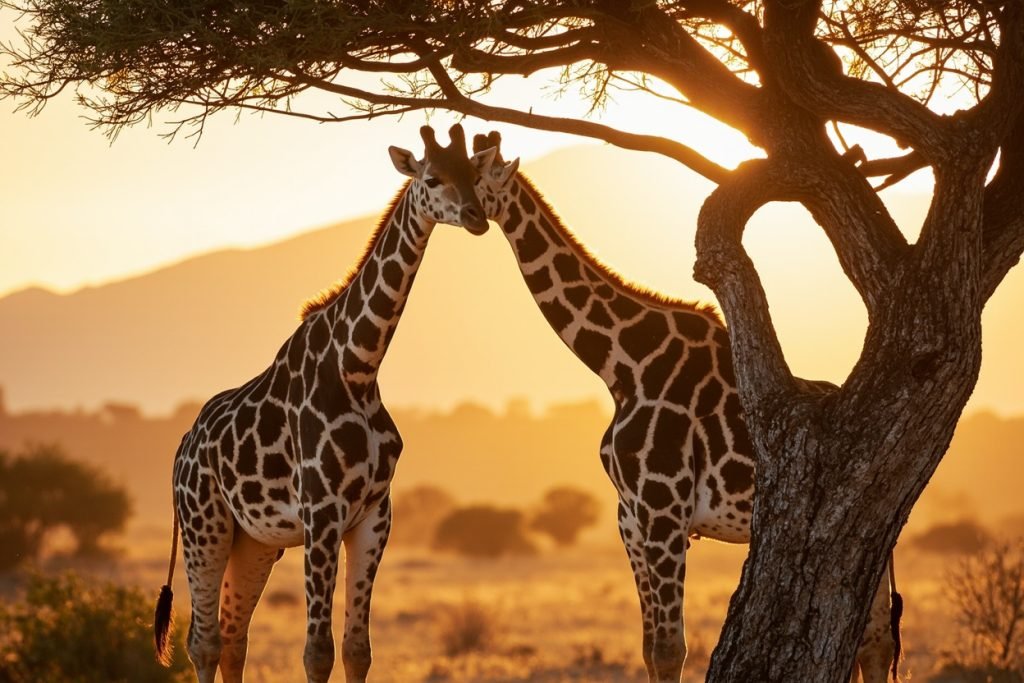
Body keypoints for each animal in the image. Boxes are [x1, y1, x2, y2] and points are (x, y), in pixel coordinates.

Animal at [152, 124, 498, 683]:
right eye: (432, 178)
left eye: (474, 174)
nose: (475, 217)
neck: (358, 367)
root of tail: (182, 447)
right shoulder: (321, 513)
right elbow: (317, 652)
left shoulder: (373, 515)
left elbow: (358, 650)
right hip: (205, 524)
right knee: (202, 642)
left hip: (255, 541)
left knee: (233, 639)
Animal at [471, 131, 901, 683]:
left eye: (470, 172)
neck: (621, 365)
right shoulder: (630, 519)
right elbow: (651, 648)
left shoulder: (664, 511)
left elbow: (672, 648)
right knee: (873, 641)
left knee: (874, 640)